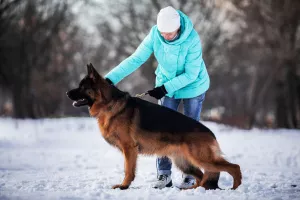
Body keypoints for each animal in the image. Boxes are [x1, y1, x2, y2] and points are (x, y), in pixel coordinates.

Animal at [65, 63, 241, 190]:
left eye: (82, 87)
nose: (67, 93)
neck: (109, 104)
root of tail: (211, 133)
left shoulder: (129, 149)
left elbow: (128, 170)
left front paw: (124, 186)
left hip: (201, 158)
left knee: (234, 167)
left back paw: (235, 188)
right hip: (184, 162)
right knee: (201, 176)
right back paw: (192, 189)